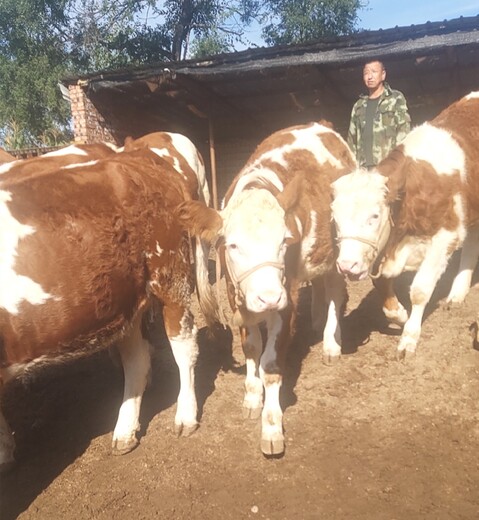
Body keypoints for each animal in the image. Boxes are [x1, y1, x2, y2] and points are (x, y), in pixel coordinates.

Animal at [0, 145, 218, 472]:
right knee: (137, 360)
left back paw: (185, 416)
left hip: (170, 275)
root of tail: (141, 158)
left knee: (184, 347)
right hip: (126, 301)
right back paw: (125, 431)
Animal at [178, 122, 358, 456]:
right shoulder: (235, 295)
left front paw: (271, 426)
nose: (269, 297)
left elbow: (271, 363)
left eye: (283, 241)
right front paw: (252, 396)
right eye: (232, 245)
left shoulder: (287, 299)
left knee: (334, 292)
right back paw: (316, 322)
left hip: (337, 249)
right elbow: (251, 347)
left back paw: (331, 342)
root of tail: (319, 124)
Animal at [332, 92, 479, 358]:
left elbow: (420, 290)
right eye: (335, 218)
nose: (347, 266)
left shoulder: (445, 237)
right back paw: (457, 294)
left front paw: (409, 337)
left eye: (374, 216)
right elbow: (381, 284)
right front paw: (399, 315)